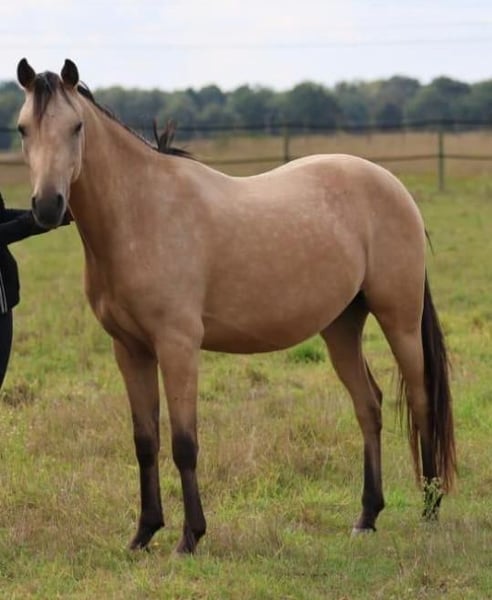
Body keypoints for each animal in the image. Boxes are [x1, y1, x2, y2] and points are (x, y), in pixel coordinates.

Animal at [15, 58, 456, 555]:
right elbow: (145, 441)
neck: (141, 211)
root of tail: (394, 187)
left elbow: (184, 443)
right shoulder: (130, 350)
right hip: (342, 326)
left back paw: (430, 508)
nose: (47, 206)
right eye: (23, 129)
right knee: (369, 407)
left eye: (76, 127)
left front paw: (190, 537)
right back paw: (367, 516)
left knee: (420, 402)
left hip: (399, 320)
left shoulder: (178, 347)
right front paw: (144, 533)